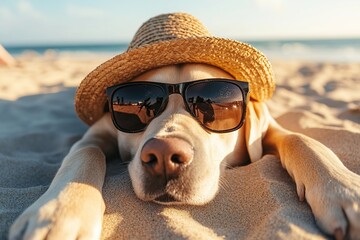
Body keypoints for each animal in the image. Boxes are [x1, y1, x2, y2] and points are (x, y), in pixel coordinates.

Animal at [8, 12, 360, 240]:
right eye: (140, 101)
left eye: (212, 101)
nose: (164, 156)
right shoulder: (95, 134)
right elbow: (82, 155)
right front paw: (58, 215)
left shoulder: (270, 128)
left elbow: (302, 139)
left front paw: (343, 189)